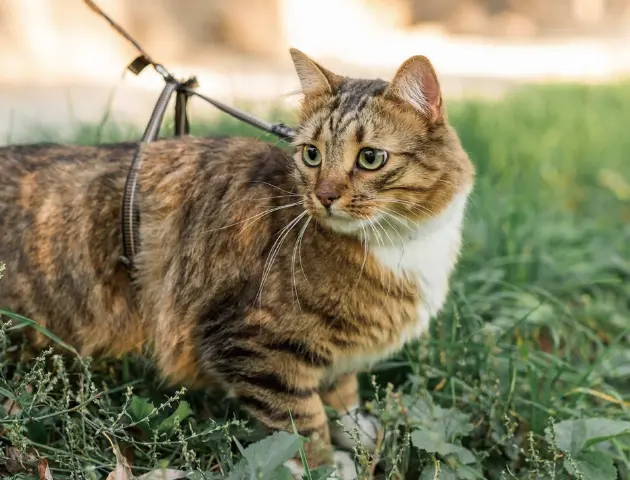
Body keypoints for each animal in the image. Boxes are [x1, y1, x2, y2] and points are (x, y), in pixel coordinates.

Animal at [0, 50, 474, 478]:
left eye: (370, 158)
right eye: (313, 155)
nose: (323, 196)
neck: (399, 243)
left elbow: (342, 390)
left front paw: (356, 427)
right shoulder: (251, 343)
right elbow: (300, 418)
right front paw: (326, 464)